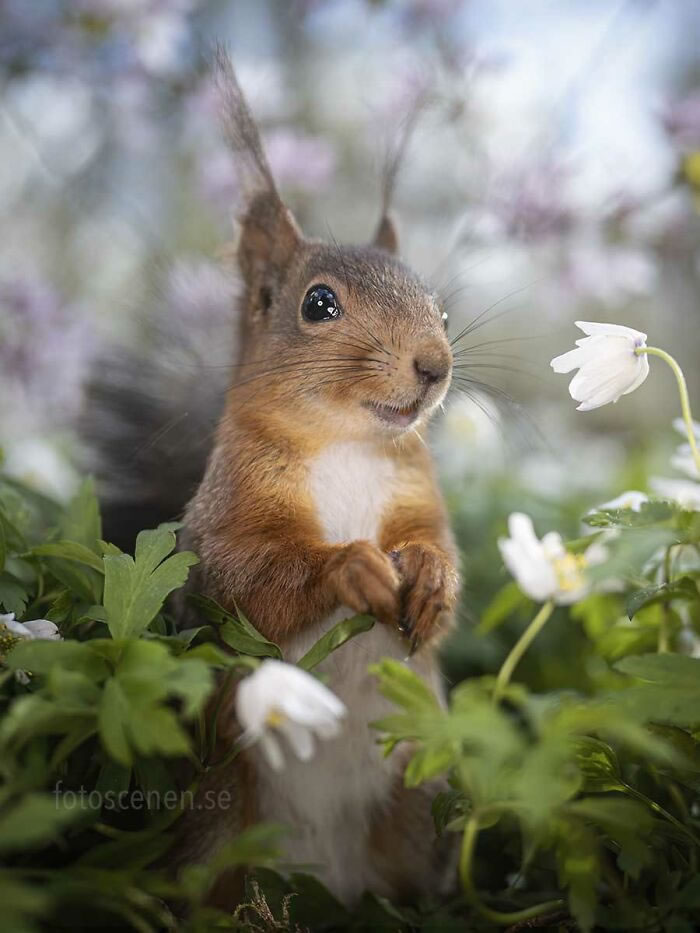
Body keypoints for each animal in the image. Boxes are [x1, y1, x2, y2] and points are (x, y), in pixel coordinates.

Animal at [85, 51, 460, 912]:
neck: (347, 444)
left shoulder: (417, 496)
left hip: (414, 801)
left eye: (443, 310)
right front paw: (351, 566)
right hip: (220, 815)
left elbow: (439, 551)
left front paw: (426, 578)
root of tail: (329, 881)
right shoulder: (226, 517)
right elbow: (249, 576)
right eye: (318, 303)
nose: (435, 365)